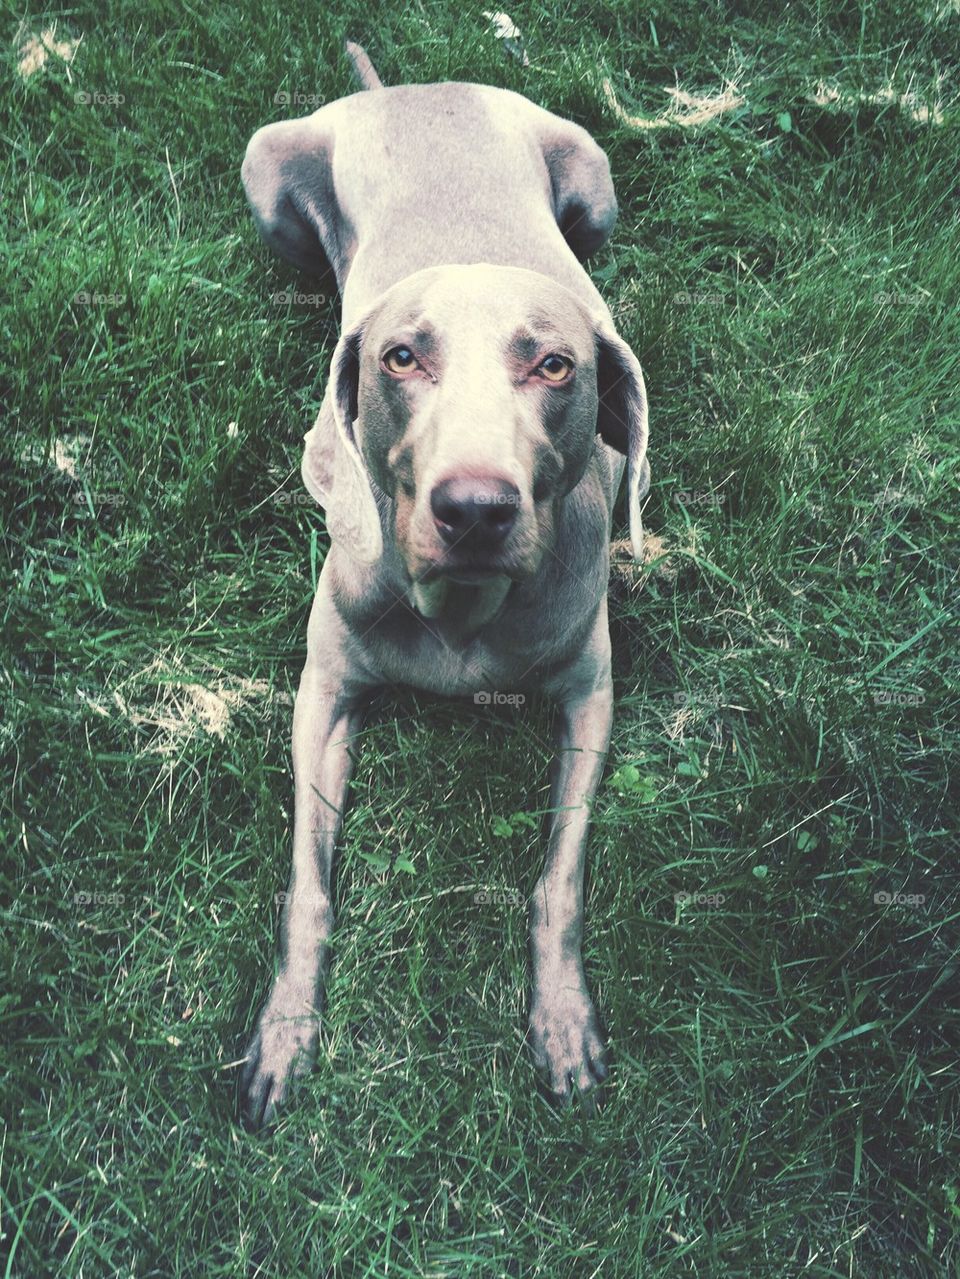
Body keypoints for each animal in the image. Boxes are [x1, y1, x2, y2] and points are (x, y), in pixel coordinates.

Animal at [236, 42, 649, 1130]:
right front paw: (284, 1033)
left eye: (556, 365)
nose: (474, 509)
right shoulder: (322, 693)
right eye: (401, 356)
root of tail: (408, 90)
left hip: (595, 185)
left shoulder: (591, 692)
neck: (463, 614)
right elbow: (308, 886)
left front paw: (561, 1021)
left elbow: (559, 878)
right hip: (267, 175)